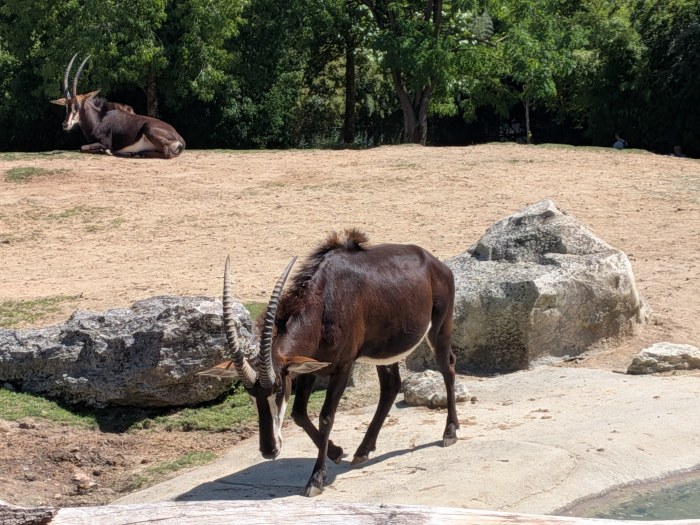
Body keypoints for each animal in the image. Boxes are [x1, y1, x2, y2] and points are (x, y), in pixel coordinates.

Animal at [50, 54, 185, 159]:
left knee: (167, 153)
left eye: (78, 105)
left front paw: (107, 151)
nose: (65, 124)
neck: (99, 119)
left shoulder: (105, 143)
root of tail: (180, 139)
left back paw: (136, 153)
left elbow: (83, 147)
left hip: (149, 129)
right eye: (66, 106)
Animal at [199, 229, 459, 497]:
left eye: (278, 390)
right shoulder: (309, 368)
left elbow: (325, 417)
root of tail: (436, 264)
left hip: (439, 328)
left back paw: (449, 432)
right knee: (391, 387)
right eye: (251, 396)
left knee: (448, 367)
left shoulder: (343, 367)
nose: (269, 450)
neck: (324, 300)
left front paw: (316, 479)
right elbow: (299, 413)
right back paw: (363, 451)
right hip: (386, 349)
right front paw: (336, 452)